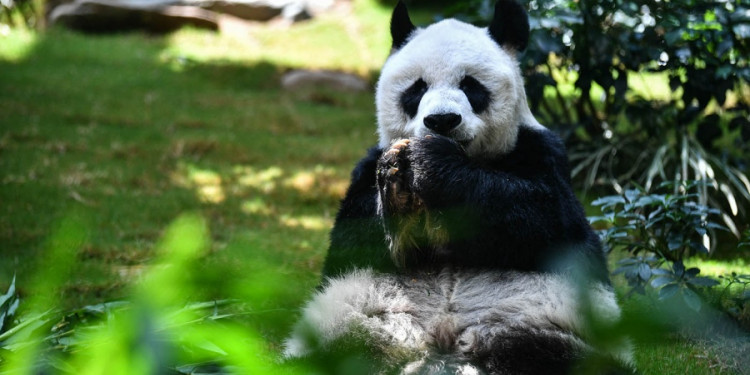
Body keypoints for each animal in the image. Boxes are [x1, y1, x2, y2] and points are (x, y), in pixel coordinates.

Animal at [284, 0, 636, 374]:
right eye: (417, 88)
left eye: (471, 85)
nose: (442, 121)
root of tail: (441, 350)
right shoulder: (365, 171)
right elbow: (356, 237)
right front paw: (398, 191)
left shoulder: (542, 153)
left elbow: (542, 216)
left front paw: (433, 163)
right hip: (354, 324)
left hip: (543, 325)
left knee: (559, 357)